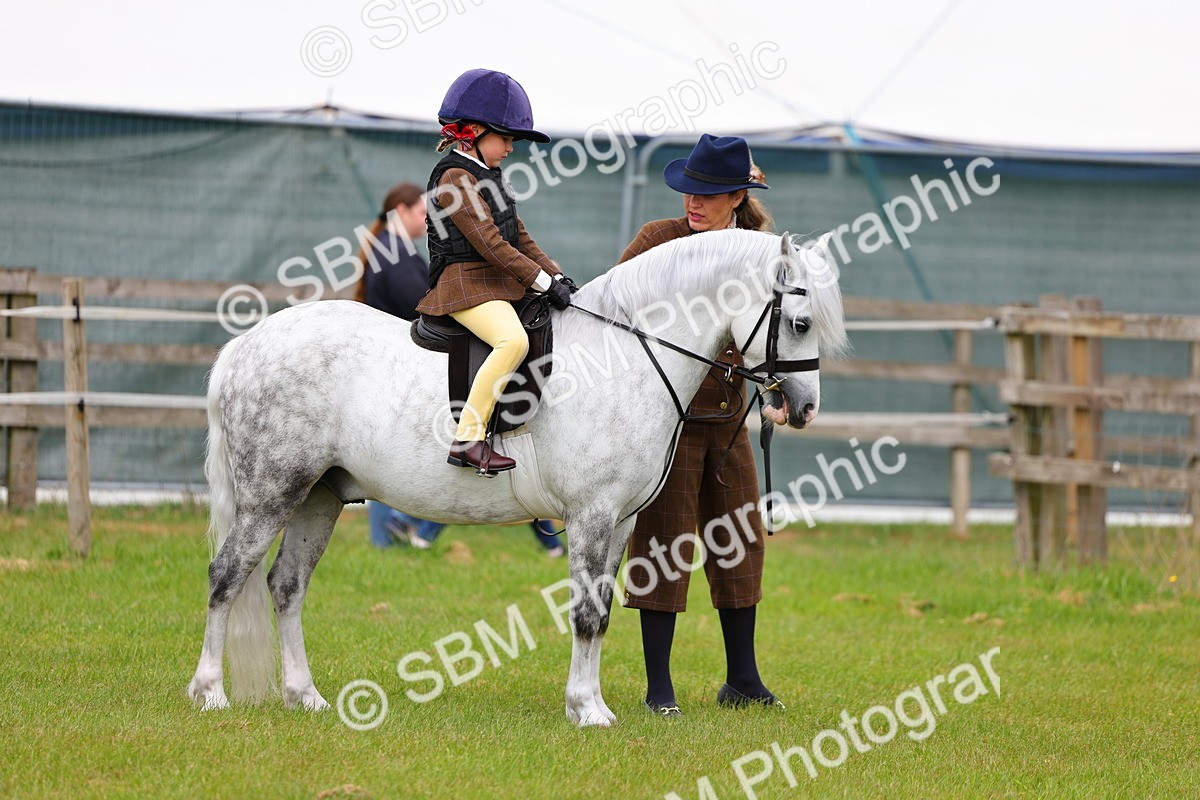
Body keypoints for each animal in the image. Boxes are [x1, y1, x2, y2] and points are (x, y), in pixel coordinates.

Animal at [186, 228, 848, 728]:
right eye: (799, 322)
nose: (803, 408)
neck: (627, 355)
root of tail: (247, 344)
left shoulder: (621, 521)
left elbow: (602, 611)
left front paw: (589, 703)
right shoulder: (591, 516)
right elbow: (586, 612)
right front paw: (588, 710)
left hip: (317, 499)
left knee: (286, 587)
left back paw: (306, 696)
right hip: (272, 493)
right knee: (226, 577)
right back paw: (210, 692)